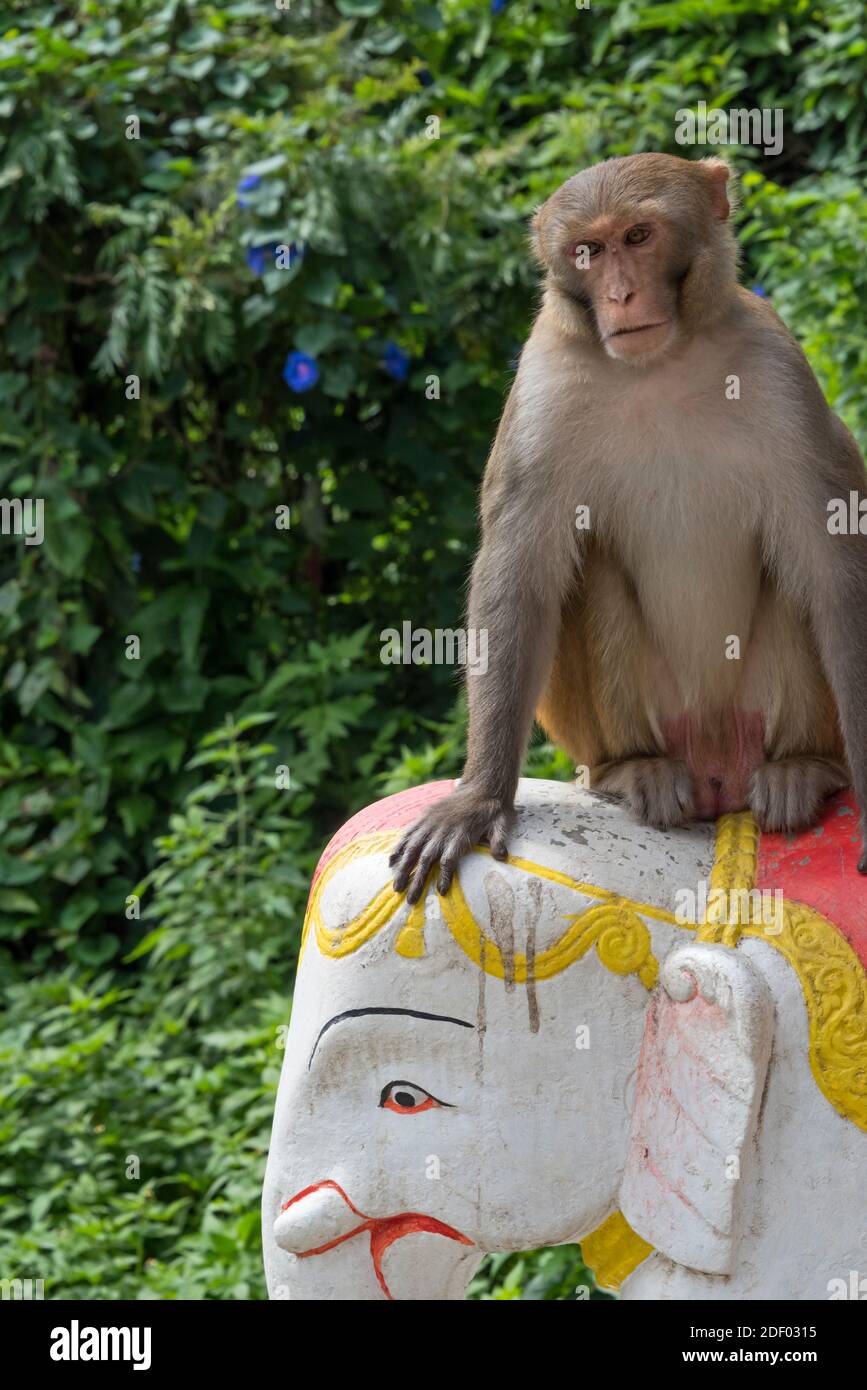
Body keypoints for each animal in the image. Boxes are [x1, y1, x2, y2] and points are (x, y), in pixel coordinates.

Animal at [391, 154, 867, 911]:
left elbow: (834, 573)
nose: (619, 294)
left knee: (792, 574)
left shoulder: (780, 369)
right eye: (587, 250)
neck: (661, 365)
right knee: (588, 567)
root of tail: (717, 772)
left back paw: (803, 766)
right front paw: (477, 799)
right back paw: (631, 769)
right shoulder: (544, 380)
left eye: (638, 236)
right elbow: (520, 576)